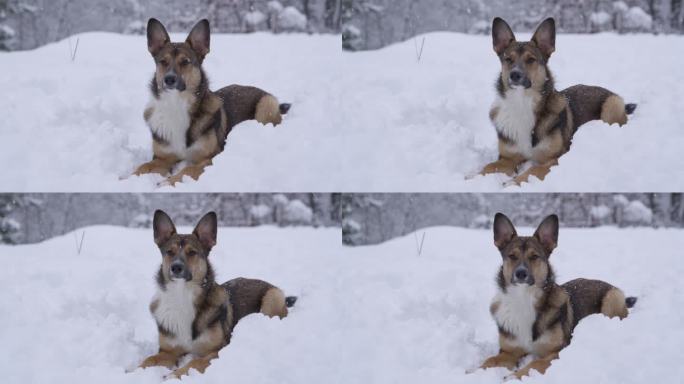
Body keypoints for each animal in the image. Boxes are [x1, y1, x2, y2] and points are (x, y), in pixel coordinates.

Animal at [134, 18, 292, 186]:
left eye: (185, 62)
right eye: (163, 62)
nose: (169, 79)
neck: (177, 104)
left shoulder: (210, 158)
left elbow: (188, 170)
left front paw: (167, 182)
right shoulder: (162, 158)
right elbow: (142, 167)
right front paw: (127, 178)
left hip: (265, 105)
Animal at [139, 210, 296, 378]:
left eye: (192, 253)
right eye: (169, 252)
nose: (176, 267)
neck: (182, 295)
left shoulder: (218, 351)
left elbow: (195, 362)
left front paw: (172, 376)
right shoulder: (167, 351)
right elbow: (149, 360)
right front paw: (133, 370)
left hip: (272, 298)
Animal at [476, 214, 636, 380]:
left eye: (534, 256)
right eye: (512, 256)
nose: (521, 273)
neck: (524, 298)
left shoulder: (557, 352)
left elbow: (535, 364)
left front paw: (512, 377)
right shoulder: (509, 352)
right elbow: (490, 360)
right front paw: (473, 372)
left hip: (612, 298)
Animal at [480, 18, 636, 184]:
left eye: (531, 60)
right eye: (508, 59)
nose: (515, 75)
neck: (522, 102)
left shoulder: (555, 159)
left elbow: (532, 171)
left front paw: (511, 182)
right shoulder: (507, 158)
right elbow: (487, 167)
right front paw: (471, 177)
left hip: (611, 105)